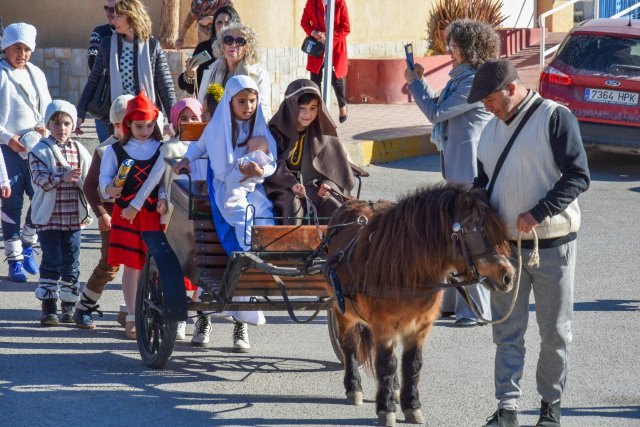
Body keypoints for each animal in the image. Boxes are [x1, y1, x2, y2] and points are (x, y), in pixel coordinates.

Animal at [324, 182, 516, 426]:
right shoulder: (383, 326)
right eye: (478, 233)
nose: (508, 276)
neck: (407, 270)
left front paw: (412, 406)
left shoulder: (419, 327)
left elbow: (412, 364)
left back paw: (395, 388)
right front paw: (386, 409)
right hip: (342, 311)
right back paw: (354, 388)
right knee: (349, 346)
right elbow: (386, 364)